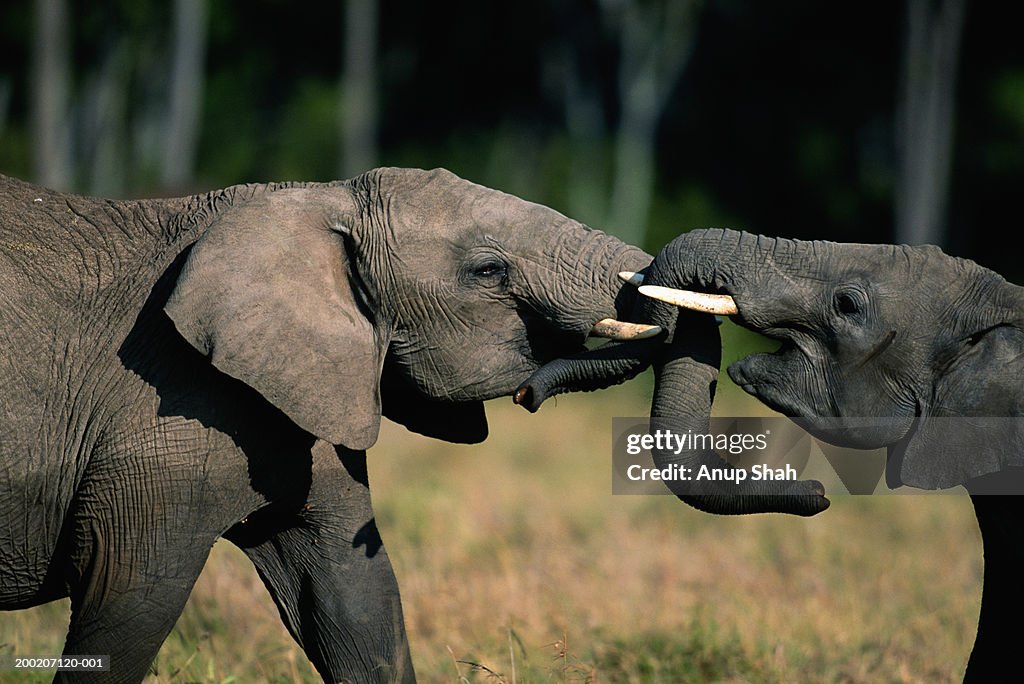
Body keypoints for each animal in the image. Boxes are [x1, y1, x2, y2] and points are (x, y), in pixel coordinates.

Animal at [0, 167, 672, 683]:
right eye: (487, 271)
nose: (531, 394)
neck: (317, 198)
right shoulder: (164, 415)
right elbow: (131, 595)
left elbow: (353, 595)